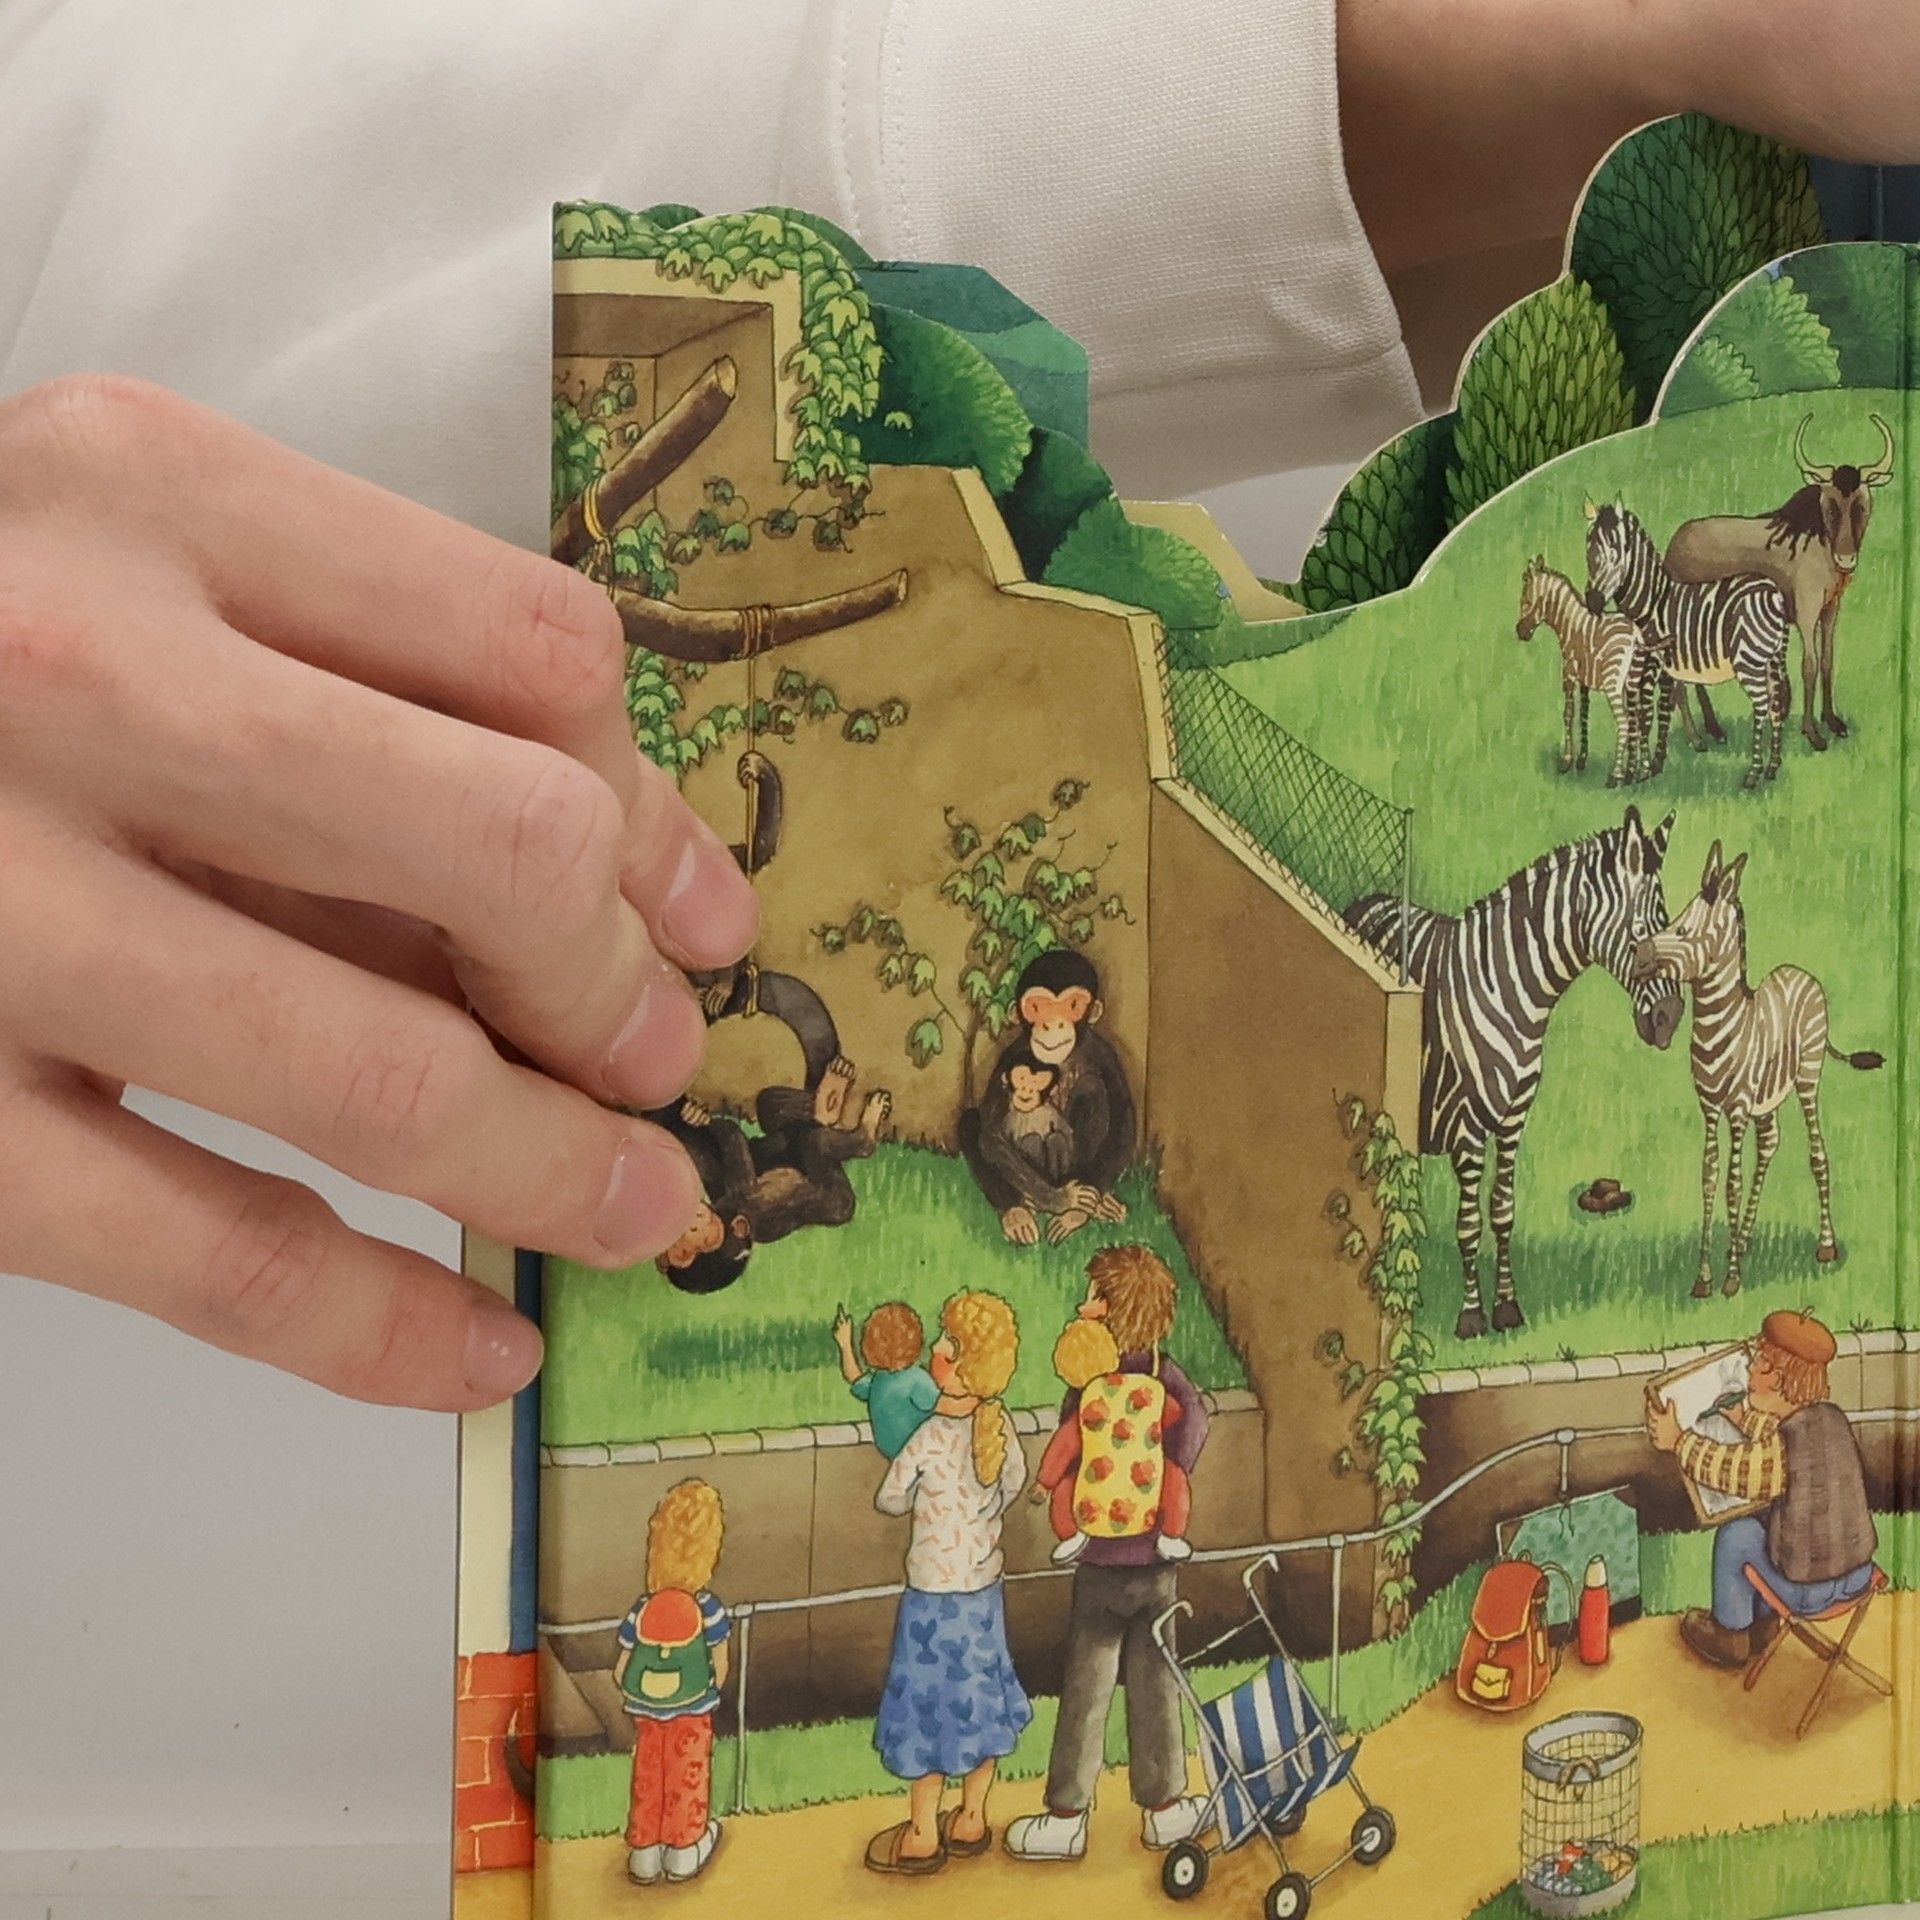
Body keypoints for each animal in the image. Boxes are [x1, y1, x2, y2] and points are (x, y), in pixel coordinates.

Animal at [1346, 807, 1682, 1340]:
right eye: (1641, 936)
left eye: (1670, 927)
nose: (1671, 1019)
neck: (1513, 991)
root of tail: (1368, 899)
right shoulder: (1467, 1127)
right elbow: (1468, 1224)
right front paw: (1469, 1316)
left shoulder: (1511, 1123)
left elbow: (1502, 1212)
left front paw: (1506, 1308)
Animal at [1515, 554, 1655, 786]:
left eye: (1525, 601)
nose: (1520, 632)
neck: (1569, 623)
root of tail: (1636, 634)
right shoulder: (1584, 680)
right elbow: (1583, 713)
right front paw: (1581, 760)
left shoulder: (1569, 674)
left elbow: (1568, 714)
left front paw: (1566, 762)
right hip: (1633, 681)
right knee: (1639, 719)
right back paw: (1639, 772)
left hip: (1613, 682)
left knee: (1624, 722)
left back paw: (1615, 775)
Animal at [1583, 499, 1793, 791]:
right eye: (1588, 546)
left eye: (1618, 550)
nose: (1592, 601)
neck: (1651, 602)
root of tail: (1773, 592)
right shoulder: (1665, 667)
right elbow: (1662, 709)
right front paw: (1654, 764)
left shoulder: (1652, 662)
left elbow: (1647, 712)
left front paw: (1642, 771)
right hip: (1771, 657)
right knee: (1775, 703)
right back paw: (1772, 767)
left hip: (1748, 660)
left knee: (1762, 705)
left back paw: (1753, 773)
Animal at [1631, 841, 1883, 1299]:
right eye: (1674, 922)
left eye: (1684, 931)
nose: (1637, 954)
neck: (1721, 1024)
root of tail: (1800, 972)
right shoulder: (1711, 1109)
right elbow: (1710, 1179)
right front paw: (1705, 1277)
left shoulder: (1737, 1108)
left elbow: (1731, 1183)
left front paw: (1730, 1279)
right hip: (1768, 1100)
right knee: (1769, 1146)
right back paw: (1744, 1241)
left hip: (1806, 1078)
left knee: (1817, 1154)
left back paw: (1824, 1245)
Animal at [1665, 414, 1896, 752]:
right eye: (1829, 505)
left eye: (1861, 504)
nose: (1846, 559)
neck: (1819, 545)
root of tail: (1671, 549)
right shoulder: (1806, 612)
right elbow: (1809, 665)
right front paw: (1813, 733)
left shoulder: (1831, 609)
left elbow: (1828, 660)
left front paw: (1833, 722)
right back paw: (1696, 739)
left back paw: (1714, 730)